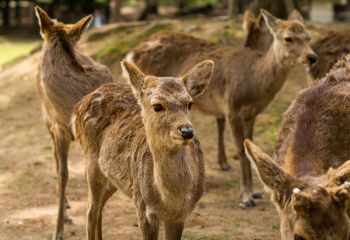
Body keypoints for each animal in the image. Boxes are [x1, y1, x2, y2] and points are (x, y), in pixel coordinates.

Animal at [72, 60, 213, 240]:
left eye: (189, 103)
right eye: (157, 106)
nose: (187, 131)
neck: (171, 201)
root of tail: (82, 102)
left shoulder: (180, 216)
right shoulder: (143, 209)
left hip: (113, 178)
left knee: (99, 208)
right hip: (91, 162)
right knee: (91, 212)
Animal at [125, 9, 318, 207]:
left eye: (308, 37)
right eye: (288, 38)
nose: (312, 57)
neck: (255, 84)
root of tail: (131, 53)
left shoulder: (251, 114)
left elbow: (249, 145)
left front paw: (254, 192)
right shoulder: (232, 108)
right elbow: (240, 150)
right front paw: (246, 196)